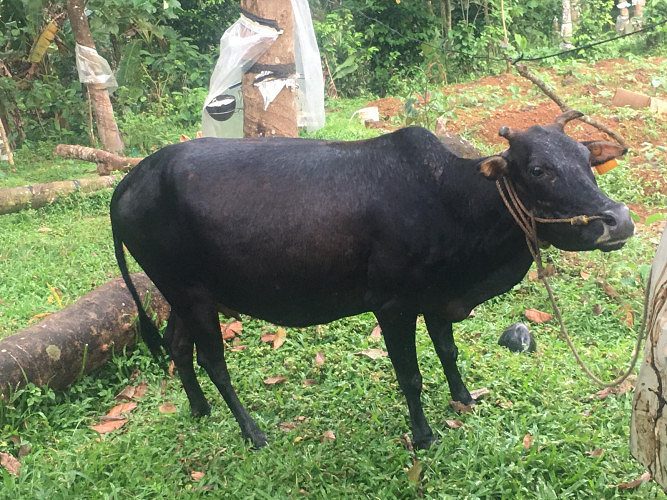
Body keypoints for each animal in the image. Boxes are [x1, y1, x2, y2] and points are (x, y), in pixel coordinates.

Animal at [110, 111, 634, 449]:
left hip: (183, 297)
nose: (619, 221)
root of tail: (131, 180)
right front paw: (423, 436)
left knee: (178, 347)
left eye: (587, 159)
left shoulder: (436, 299)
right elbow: (410, 376)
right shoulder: (393, 305)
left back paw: (200, 409)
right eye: (538, 169)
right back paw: (252, 432)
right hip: (192, 296)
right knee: (214, 362)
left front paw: (463, 398)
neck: (451, 198)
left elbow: (448, 352)